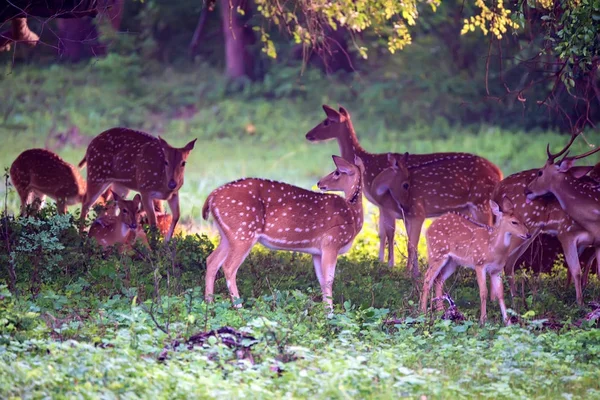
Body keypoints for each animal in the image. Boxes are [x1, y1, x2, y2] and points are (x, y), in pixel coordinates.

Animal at [202, 154, 364, 310]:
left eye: (337, 172)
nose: (319, 183)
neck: (352, 215)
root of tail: (211, 197)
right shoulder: (332, 242)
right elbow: (329, 281)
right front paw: (330, 314)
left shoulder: (318, 251)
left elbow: (322, 281)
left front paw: (325, 312)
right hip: (243, 232)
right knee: (228, 266)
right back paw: (239, 307)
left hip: (228, 235)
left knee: (211, 260)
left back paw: (209, 303)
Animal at [304, 104, 502, 278]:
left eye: (327, 121)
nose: (308, 135)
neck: (368, 166)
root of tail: (498, 172)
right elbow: (385, 233)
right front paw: (388, 264)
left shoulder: (388, 204)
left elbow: (390, 234)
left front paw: (390, 265)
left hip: (481, 203)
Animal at [422, 198, 528, 326]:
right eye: (514, 222)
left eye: (523, 219)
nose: (528, 234)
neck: (493, 248)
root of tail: (428, 229)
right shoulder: (479, 263)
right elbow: (483, 292)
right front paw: (483, 320)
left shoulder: (496, 270)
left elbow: (500, 294)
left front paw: (508, 322)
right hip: (437, 253)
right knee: (427, 278)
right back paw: (422, 312)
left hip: (452, 262)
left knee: (439, 279)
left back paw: (441, 312)